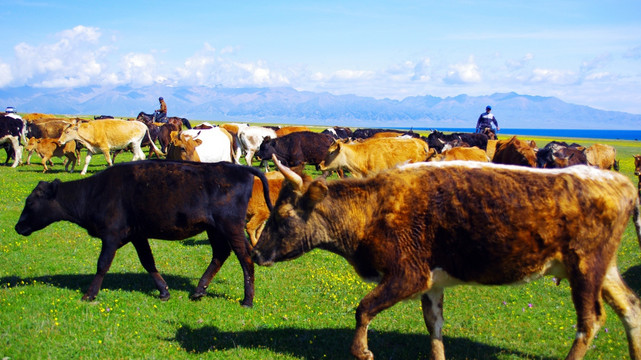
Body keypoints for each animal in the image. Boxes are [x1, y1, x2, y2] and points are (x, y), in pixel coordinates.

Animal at [15, 160, 270, 306]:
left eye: (30, 202)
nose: (18, 227)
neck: (94, 192)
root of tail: (237, 167)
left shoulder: (111, 235)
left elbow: (102, 264)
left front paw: (89, 295)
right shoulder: (137, 236)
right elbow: (148, 261)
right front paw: (164, 291)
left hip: (230, 226)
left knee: (245, 258)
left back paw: (247, 300)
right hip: (214, 228)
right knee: (220, 254)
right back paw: (199, 291)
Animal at [254, 159, 640, 360]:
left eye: (283, 216)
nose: (256, 253)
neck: (373, 208)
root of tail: (617, 180)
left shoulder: (407, 274)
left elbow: (363, 308)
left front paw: (362, 351)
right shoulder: (431, 281)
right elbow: (434, 326)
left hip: (585, 268)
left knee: (590, 320)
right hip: (604, 269)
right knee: (630, 307)